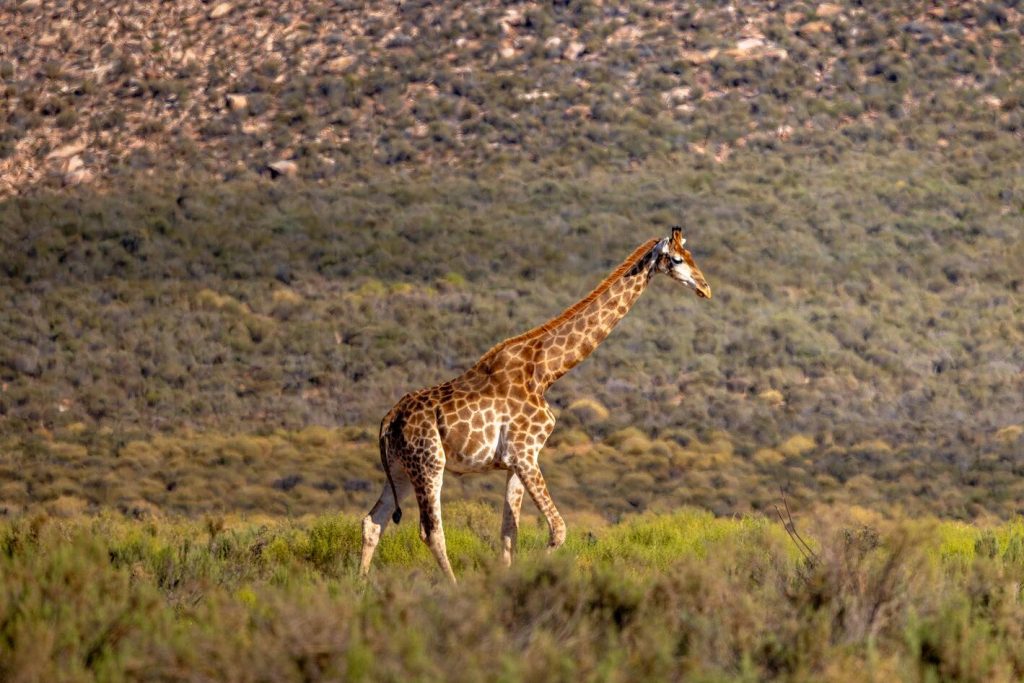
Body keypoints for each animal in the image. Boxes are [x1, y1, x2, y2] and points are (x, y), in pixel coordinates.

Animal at [362, 227, 712, 581]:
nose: (706, 288)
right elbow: (558, 530)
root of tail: (388, 420)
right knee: (430, 531)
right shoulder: (525, 454)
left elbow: (509, 534)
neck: (546, 371)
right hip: (429, 463)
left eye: (693, 256)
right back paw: (453, 587)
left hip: (400, 468)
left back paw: (360, 585)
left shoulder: (517, 462)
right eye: (678, 259)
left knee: (373, 521)